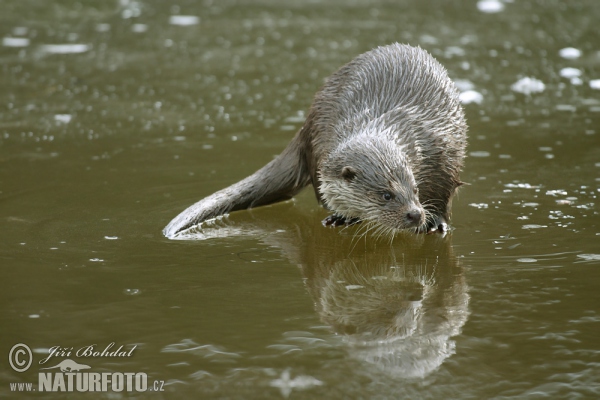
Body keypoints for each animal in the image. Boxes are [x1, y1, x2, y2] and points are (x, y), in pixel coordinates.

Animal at [165, 43, 468, 238]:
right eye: (386, 194)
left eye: (415, 189)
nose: (415, 214)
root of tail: (304, 128)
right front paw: (340, 216)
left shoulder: (441, 151)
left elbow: (443, 191)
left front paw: (435, 222)